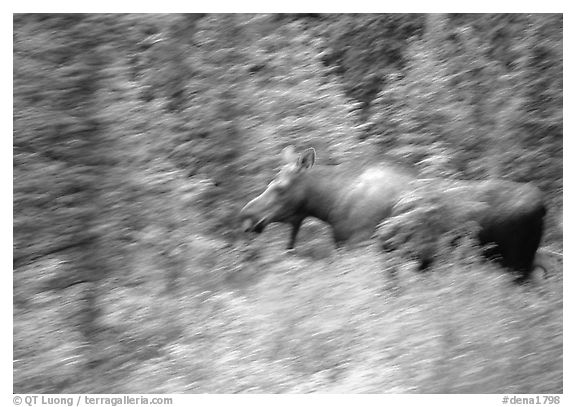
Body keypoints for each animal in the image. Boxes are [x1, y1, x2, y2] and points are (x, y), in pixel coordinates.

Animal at [241, 147, 548, 284]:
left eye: (279, 186)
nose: (247, 214)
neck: (330, 203)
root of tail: (543, 206)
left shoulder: (361, 247)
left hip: (516, 263)